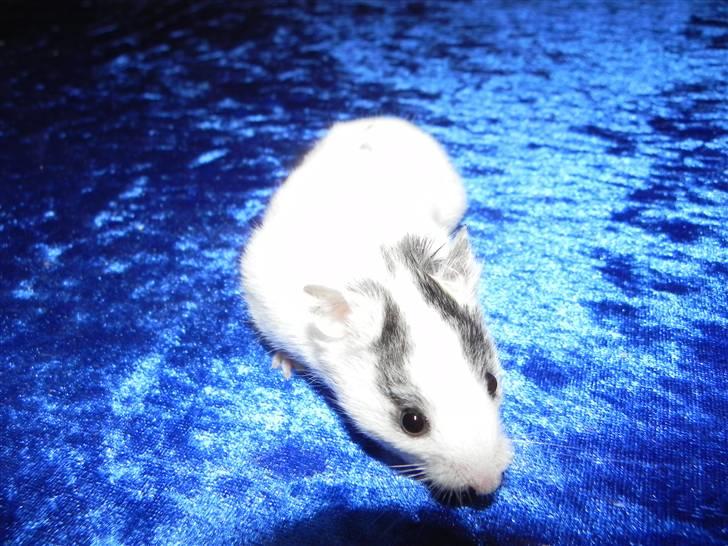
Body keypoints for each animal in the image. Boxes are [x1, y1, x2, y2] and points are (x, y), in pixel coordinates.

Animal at [240, 117, 512, 496]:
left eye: (492, 383)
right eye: (411, 422)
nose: (489, 486)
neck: (387, 277)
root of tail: (378, 119)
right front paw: (284, 364)